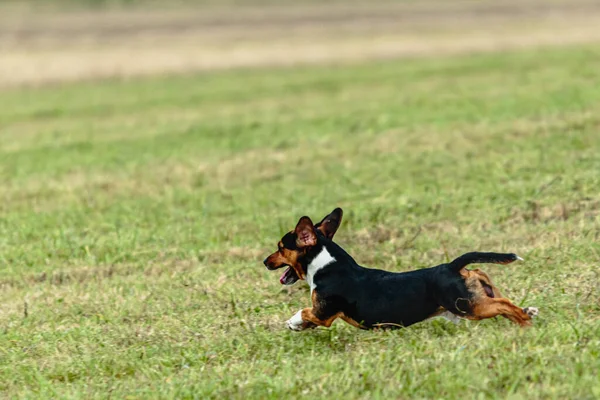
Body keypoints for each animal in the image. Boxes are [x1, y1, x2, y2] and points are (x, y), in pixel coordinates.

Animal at [262, 208, 540, 330]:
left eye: (280, 247)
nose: (265, 262)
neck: (325, 264)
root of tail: (452, 266)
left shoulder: (323, 313)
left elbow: (304, 311)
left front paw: (293, 321)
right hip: (476, 295)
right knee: (498, 294)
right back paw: (527, 313)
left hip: (468, 306)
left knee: (504, 305)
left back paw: (525, 320)